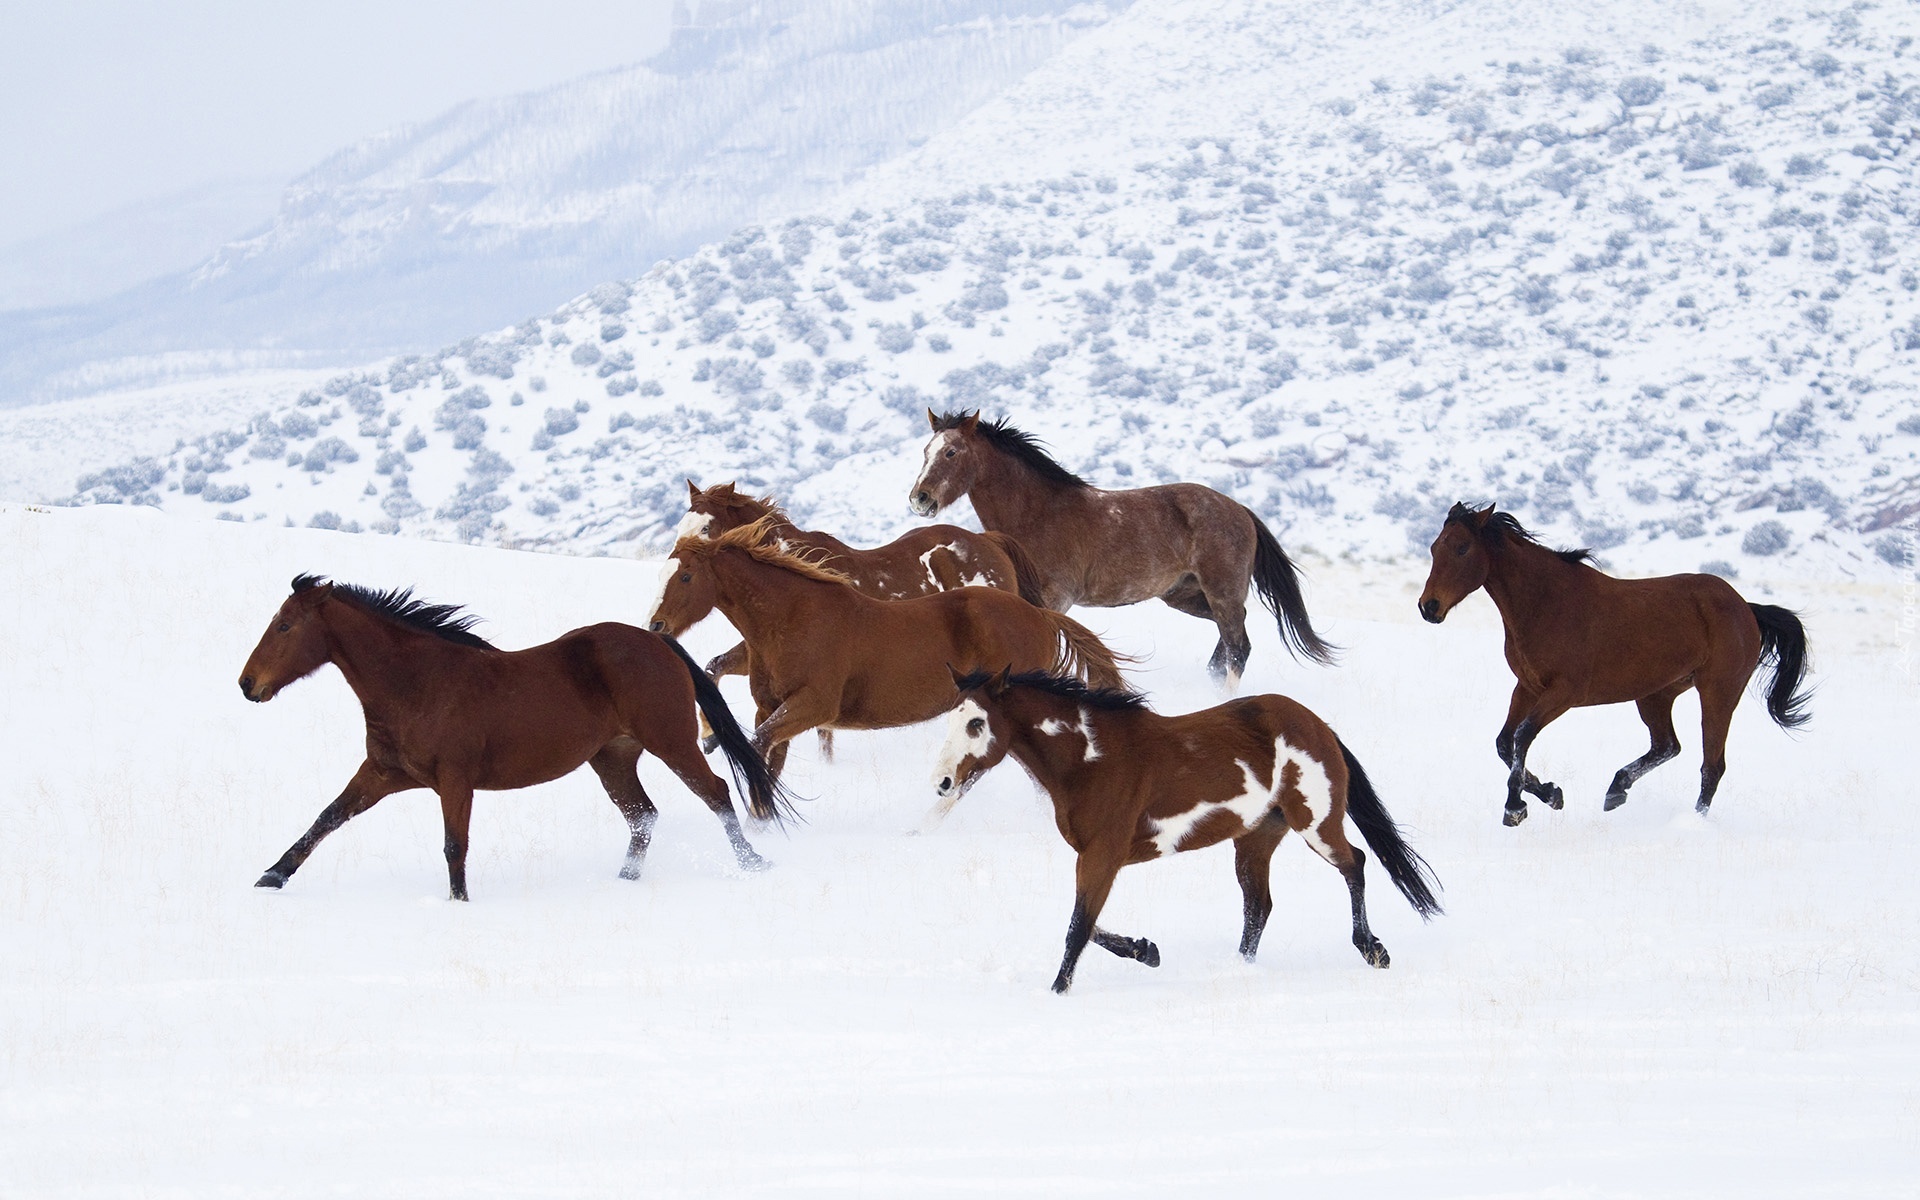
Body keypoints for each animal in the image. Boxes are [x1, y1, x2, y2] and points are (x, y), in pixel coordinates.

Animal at [238, 572, 787, 898]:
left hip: (671, 742)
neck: (417, 683)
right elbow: (327, 817)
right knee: (643, 815)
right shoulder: (384, 773)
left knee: (716, 792)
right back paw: (625, 880)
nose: (247, 684)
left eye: (284, 626)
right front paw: (272, 875)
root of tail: (659, 642)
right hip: (612, 758)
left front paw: (458, 902)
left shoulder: (454, 780)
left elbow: (454, 845)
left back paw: (753, 863)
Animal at [645, 518, 1121, 783]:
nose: (656, 625)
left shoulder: (814, 706)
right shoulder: (771, 707)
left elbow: (756, 744)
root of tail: (1040, 615)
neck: (794, 618)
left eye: (685, 575)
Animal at [902, 407, 1336, 683]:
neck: (1037, 513)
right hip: (1187, 597)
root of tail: (1240, 510)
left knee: (1237, 648)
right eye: (925, 451)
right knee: (1228, 646)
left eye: (951, 451)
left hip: (1222, 593)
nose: (920, 499)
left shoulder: (1055, 599)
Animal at [929, 664, 1443, 990]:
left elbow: (1078, 928)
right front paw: (1147, 949)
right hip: (1256, 838)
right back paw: (1240, 968)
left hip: (1315, 822)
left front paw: (1059, 990)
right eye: (950, 721)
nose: (943, 782)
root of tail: (1317, 725)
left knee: (1354, 862)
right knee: (1258, 906)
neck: (1091, 759)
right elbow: (1088, 925)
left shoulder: (1102, 856)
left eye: (976, 723)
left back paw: (1373, 950)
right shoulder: (1097, 858)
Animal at [1413, 503, 1812, 821]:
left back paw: (1693, 821)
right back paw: (1616, 790)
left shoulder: (1563, 693)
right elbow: (1504, 742)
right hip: (1656, 695)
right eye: (1434, 547)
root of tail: (1746, 607)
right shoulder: (1527, 687)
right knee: (1667, 746)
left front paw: (1516, 808)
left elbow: (1523, 736)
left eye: (1462, 548)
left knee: (1711, 766)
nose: (1428, 607)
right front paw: (1550, 794)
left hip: (1718, 693)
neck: (1545, 603)